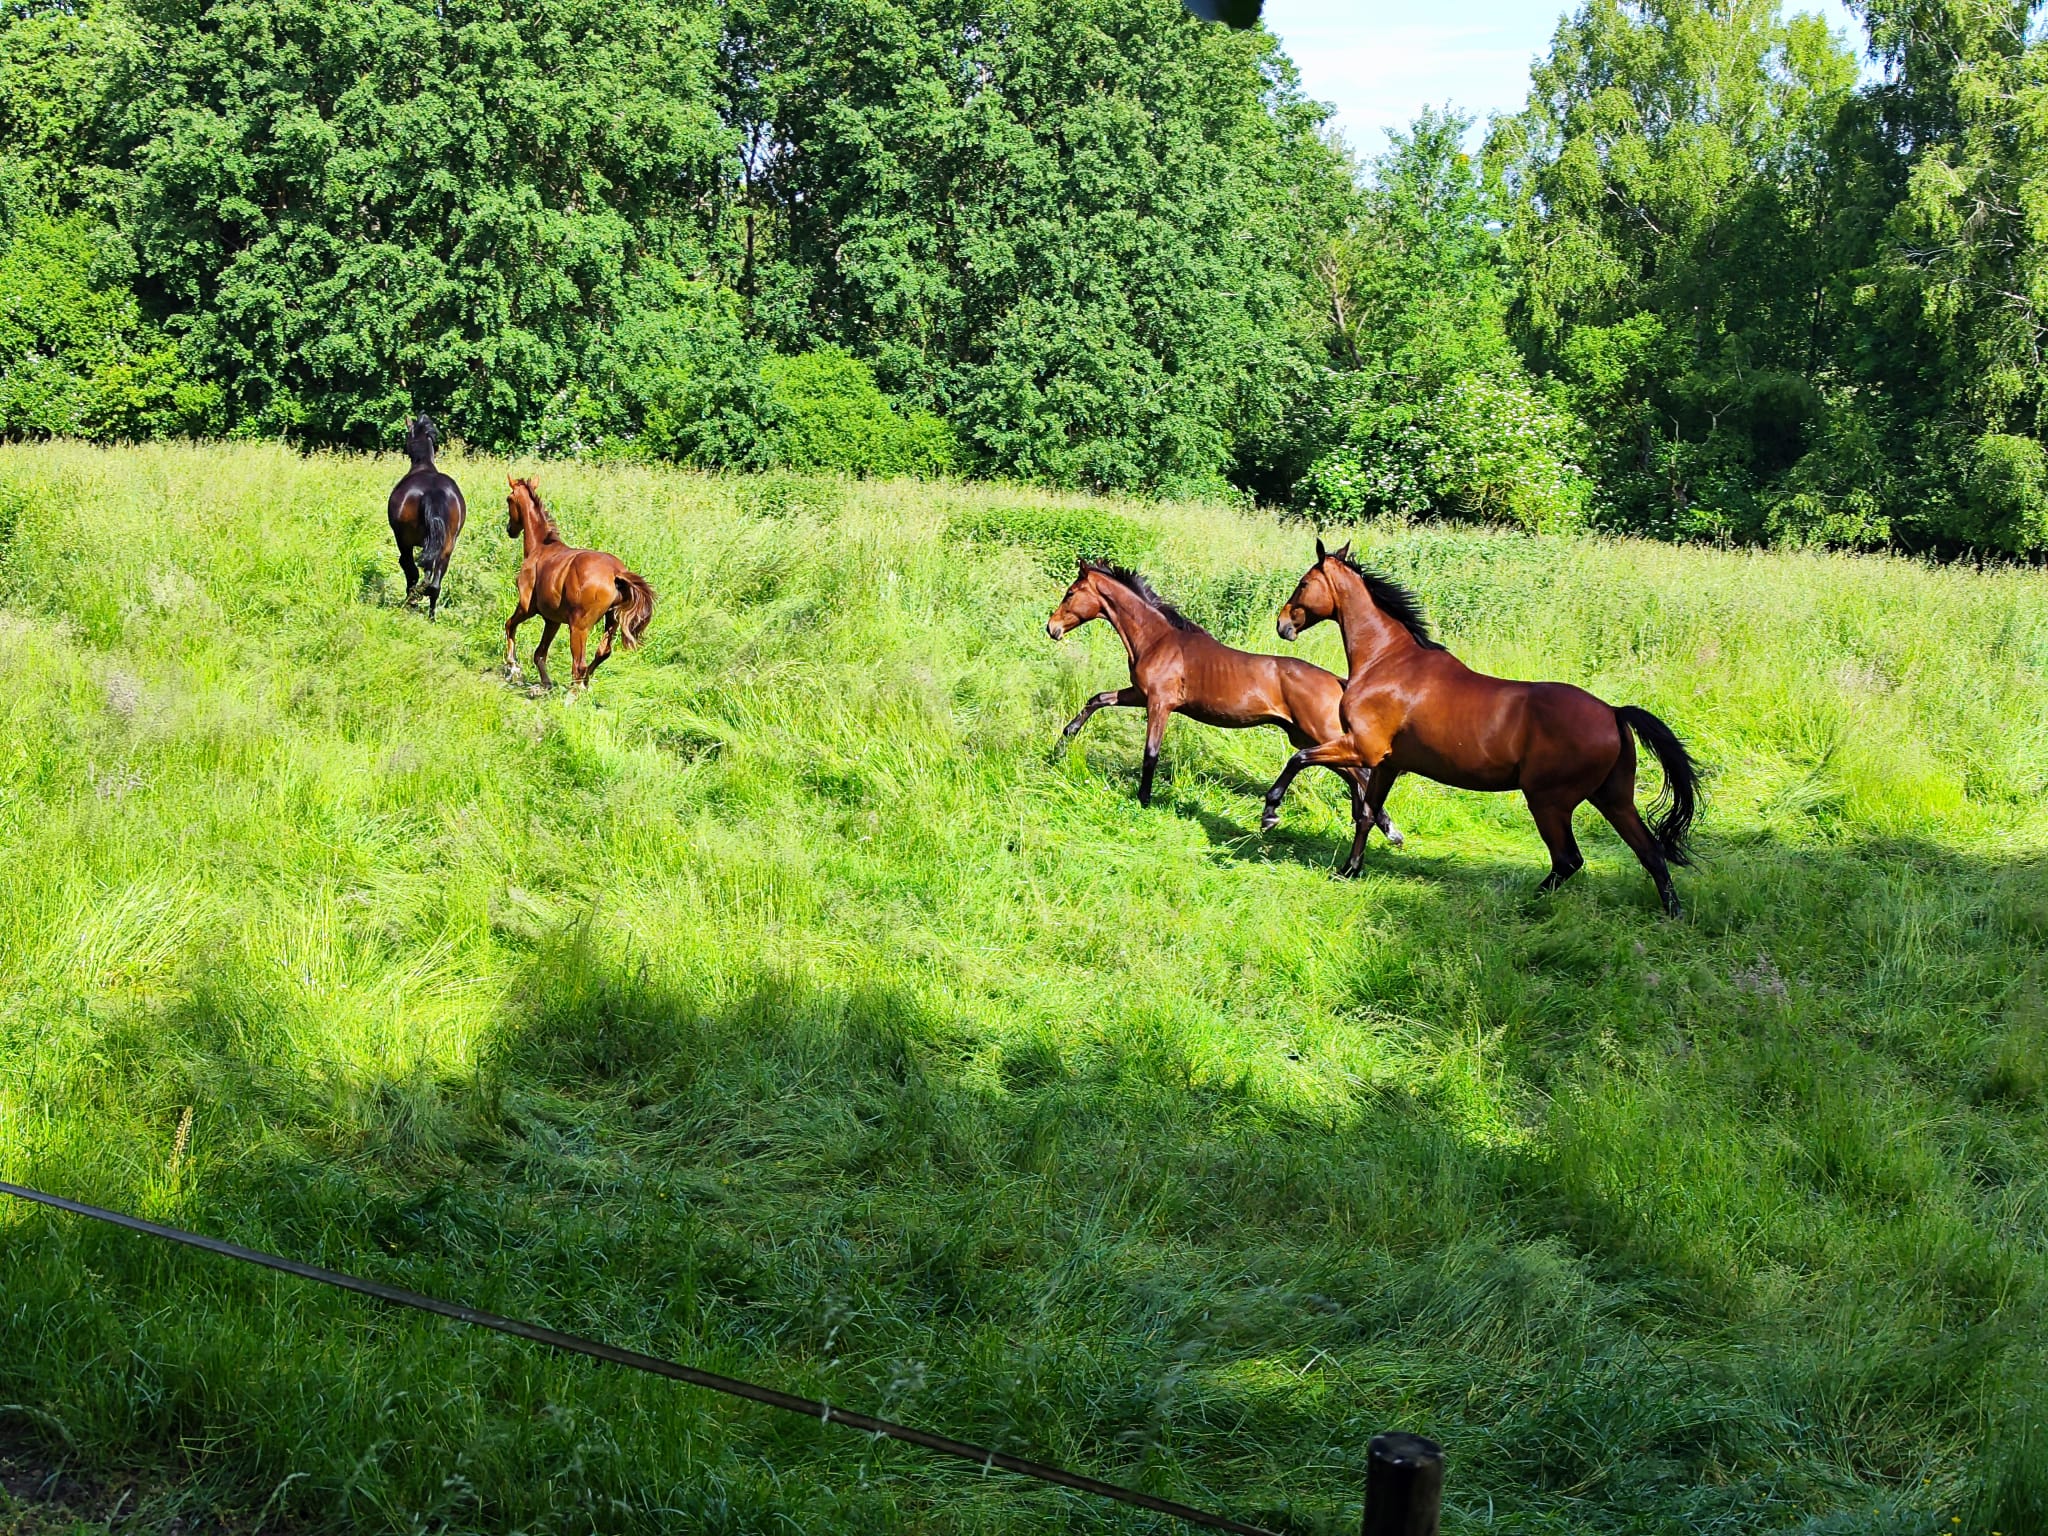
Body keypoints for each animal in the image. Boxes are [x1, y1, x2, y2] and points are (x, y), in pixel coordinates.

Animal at [382, 421, 466, 618]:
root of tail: (433, 492)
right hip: (447, 544)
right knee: (435, 582)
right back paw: (431, 615)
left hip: (404, 540)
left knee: (410, 568)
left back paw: (411, 600)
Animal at [499, 481, 651, 692]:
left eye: (509, 499)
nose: (509, 529)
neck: (540, 548)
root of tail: (615, 573)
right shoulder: (552, 620)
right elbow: (540, 653)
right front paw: (545, 684)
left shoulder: (526, 606)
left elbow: (509, 625)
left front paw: (513, 667)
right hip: (611, 620)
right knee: (602, 652)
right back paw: (584, 687)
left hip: (579, 627)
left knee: (579, 664)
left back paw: (573, 694)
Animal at [1048, 561, 1400, 876]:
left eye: (1070, 593)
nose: (1051, 628)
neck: (1157, 640)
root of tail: (1339, 682)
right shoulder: (1138, 694)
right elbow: (1098, 699)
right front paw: (1064, 740)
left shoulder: (1159, 703)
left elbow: (1150, 752)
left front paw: (1144, 799)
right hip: (1306, 737)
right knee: (1353, 778)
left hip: (1320, 734)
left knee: (1360, 776)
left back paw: (1382, 833)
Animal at [1261, 540, 1695, 913]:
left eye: (1303, 583)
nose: (1282, 624)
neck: (1387, 661)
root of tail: (1613, 712)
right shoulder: (1386, 762)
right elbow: (1366, 814)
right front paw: (1350, 870)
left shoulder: (1361, 747)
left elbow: (1299, 758)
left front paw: (1270, 811)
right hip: (1613, 798)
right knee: (1650, 853)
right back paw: (1672, 913)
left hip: (1549, 801)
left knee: (1568, 859)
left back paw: (1525, 902)